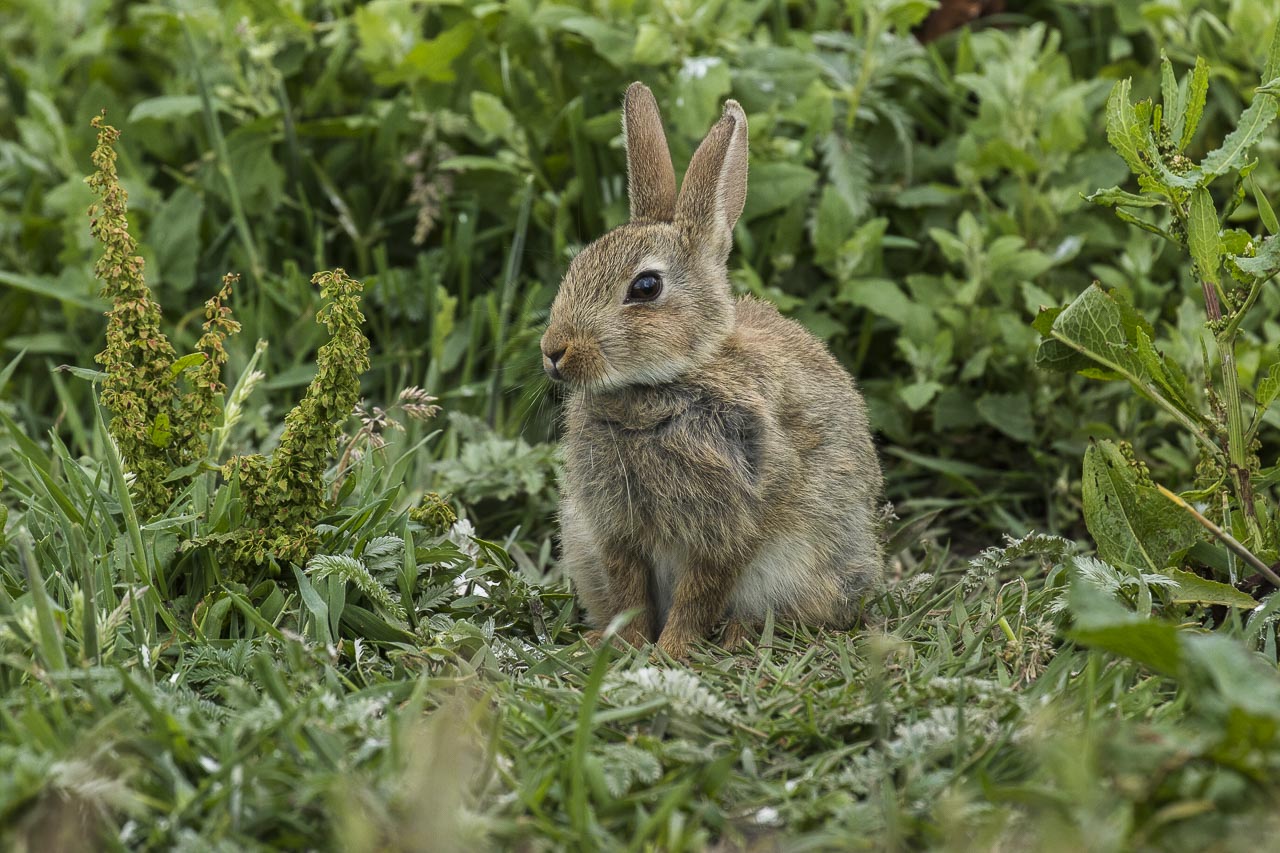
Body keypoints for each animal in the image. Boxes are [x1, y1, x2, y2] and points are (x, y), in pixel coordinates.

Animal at [537, 81, 880, 655]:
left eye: (645, 287)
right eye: (577, 265)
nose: (554, 351)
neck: (660, 387)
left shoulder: (731, 527)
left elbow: (701, 592)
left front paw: (672, 651)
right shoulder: (615, 532)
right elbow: (630, 590)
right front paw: (626, 647)